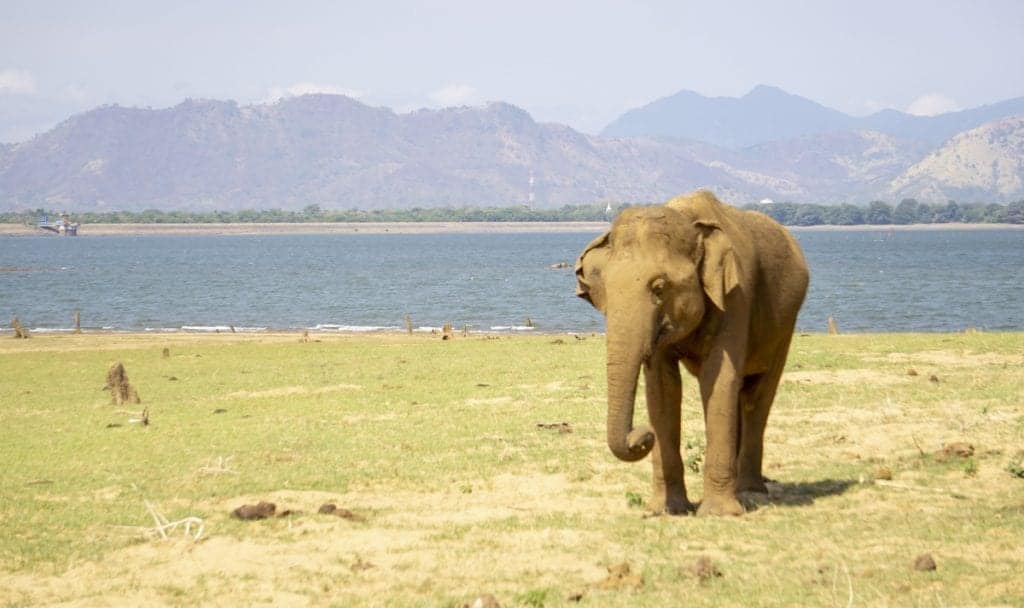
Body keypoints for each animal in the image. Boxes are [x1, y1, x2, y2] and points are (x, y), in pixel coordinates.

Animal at [577, 190, 806, 515]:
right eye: (603, 290)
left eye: (659, 287)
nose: (642, 435)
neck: (689, 220)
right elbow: (662, 388)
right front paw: (666, 510)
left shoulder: (736, 296)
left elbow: (718, 378)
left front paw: (719, 514)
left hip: (785, 324)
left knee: (757, 396)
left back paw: (750, 493)